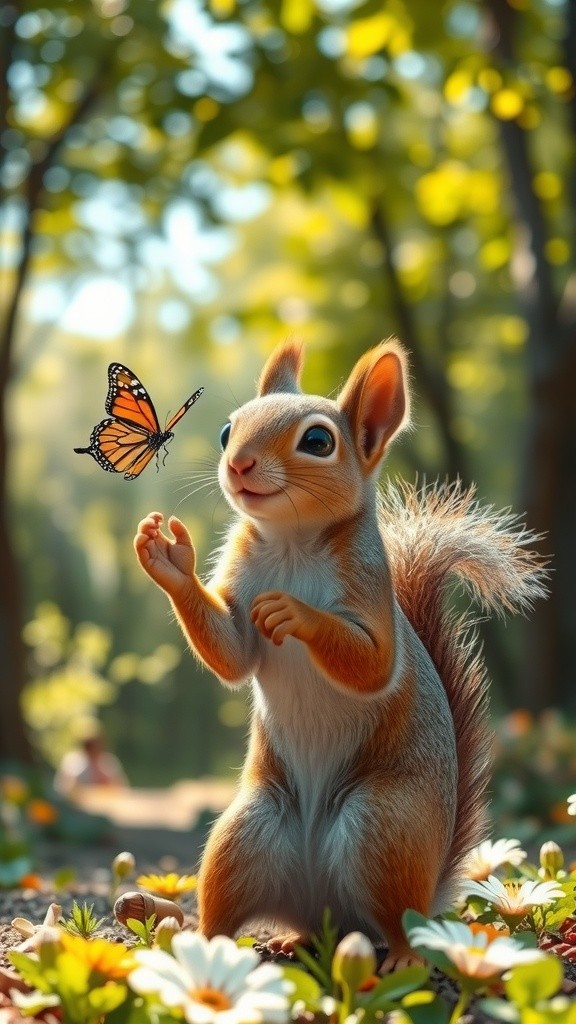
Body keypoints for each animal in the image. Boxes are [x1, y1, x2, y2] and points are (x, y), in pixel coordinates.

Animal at [134, 339, 547, 969]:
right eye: (228, 430)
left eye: (318, 441)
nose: (238, 464)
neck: (292, 544)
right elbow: (233, 654)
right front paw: (168, 557)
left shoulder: (371, 592)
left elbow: (372, 665)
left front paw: (294, 613)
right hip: (245, 835)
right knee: (245, 912)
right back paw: (228, 940)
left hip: (382, 830)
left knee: (395, 922)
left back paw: (401, 955)